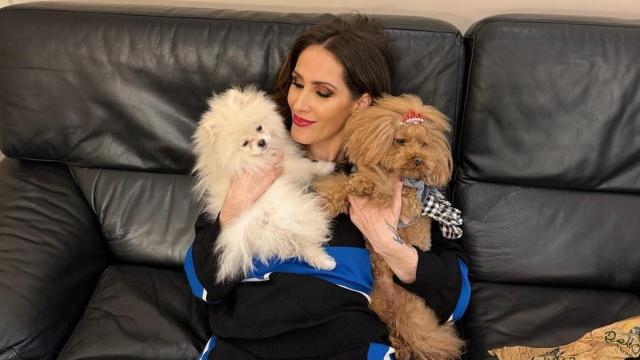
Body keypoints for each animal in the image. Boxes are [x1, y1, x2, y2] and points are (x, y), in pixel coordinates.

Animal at [192, 86, 338, 282]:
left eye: (259, 127)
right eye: (245, 143)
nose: (261, 142)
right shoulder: (285, 165)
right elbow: (307, 166)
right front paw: (326, 166)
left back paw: (324, 262)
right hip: (300, 213)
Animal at [316, 94, 464, 358]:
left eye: (424, 144)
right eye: (400, 140)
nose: (418, 160)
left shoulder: (408, 203)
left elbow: (385, 185)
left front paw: (368, 183)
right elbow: (342, 185)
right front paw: (329, 197)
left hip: (411, 315)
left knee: (423, 340)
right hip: (379, 308)